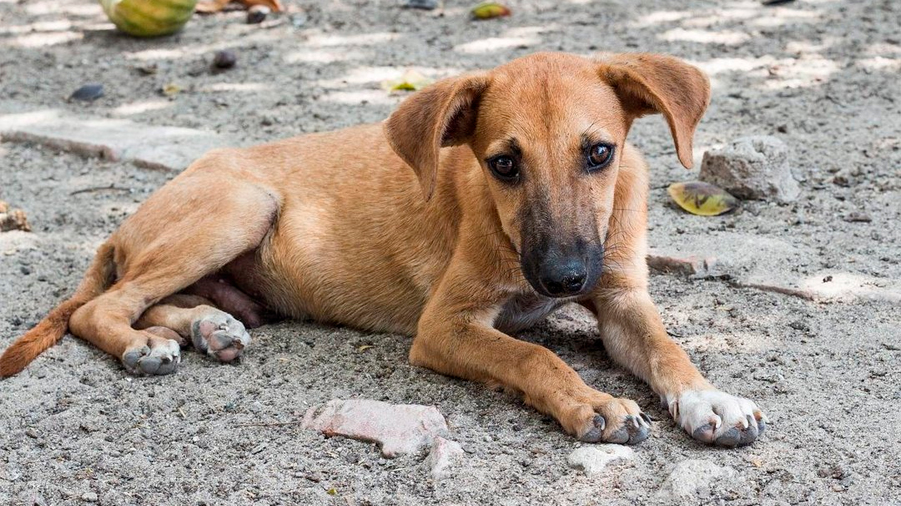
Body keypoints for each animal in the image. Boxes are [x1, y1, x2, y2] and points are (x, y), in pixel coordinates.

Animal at [0, 52, 768, 446]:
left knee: (160, 300)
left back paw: (207, 327)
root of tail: (124, 223)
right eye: (503, 165)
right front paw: (593, 403)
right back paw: (144, 344)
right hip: (241, 205)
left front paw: (709, 399)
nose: (562, 278)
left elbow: (667, 349)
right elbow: (532, 355)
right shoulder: (445, 327)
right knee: (100, 308)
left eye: (599, 153)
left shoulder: (621, 299)